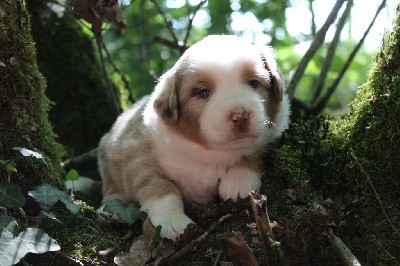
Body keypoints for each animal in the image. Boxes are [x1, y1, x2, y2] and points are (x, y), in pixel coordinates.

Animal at [97, 34, 290, 240]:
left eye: (254, 83)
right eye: (203, 93)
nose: (240, 115)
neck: (208, 153)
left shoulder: (271, 136)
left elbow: (252, 154)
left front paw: (239, 183)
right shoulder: (140, 157)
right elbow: (160, 189)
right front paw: (173, 222)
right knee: (113, 191)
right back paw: (109, 210)